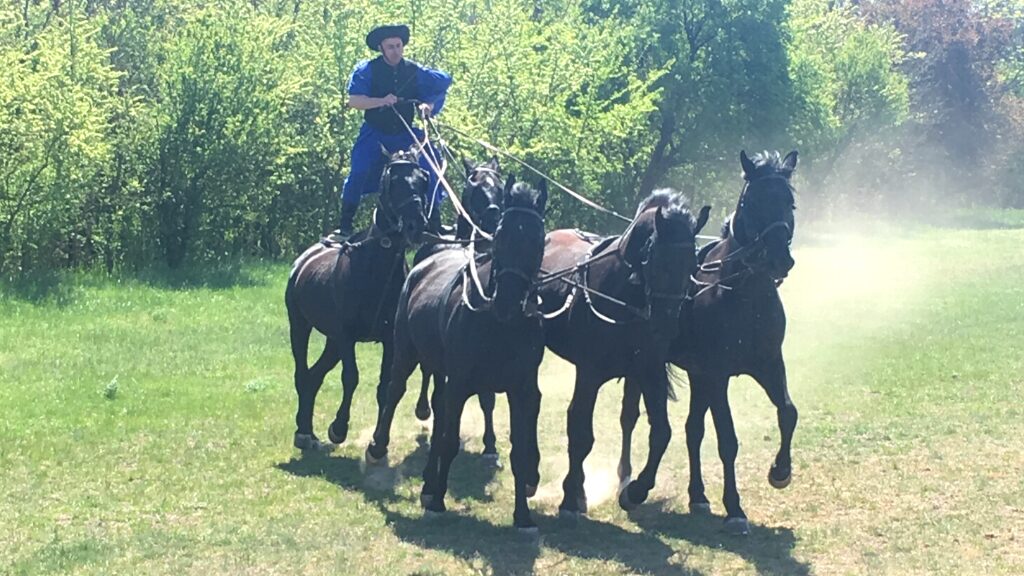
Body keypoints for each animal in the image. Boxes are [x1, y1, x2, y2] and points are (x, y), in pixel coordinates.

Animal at [286, 146, 430, 448]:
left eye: (423, 180)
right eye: (393, 181)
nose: (416, 225)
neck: (375, 265)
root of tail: (304, 259)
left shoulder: (389, 340)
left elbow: (385, 387)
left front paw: (378, 440)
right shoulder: (346, 335)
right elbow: (350, 377)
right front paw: (339, 427)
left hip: (331, 342)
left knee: (314, 376)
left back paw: (307, 428)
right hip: (301, 327)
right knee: (302, 374)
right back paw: (303, 432)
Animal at [370, 176, 552, 528]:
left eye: (539, 242)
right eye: (501, 235)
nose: (507, 302)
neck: (499, 325)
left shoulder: (521, 390)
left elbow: (518, 452)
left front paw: (523, 516)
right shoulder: (460, 383)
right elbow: (450, 441)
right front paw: (438, 500)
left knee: (439, 413)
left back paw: (428, 479)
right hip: (406, 352)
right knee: (395, 390)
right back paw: (379, 446)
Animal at [536, 191, 712, 516]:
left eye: (693, 265)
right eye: (658, 262)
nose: (666, 325)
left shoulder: (649, 369)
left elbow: (661, 432)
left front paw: (637, 489)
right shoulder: (589, 373)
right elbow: (580, 431)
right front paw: (570, 498)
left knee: (628, 417)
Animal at [614, 148, 798, 532]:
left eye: (789, 203)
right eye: (752, 202)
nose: (779, 259)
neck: (745, 295)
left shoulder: (768, 364)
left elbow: (788, 412)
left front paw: (780, 471)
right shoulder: (717, 376)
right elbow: (727, 438)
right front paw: (735, 509)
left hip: (697, 377)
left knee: (692, 430)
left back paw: (697, 496)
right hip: (649, 369)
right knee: (630, 418)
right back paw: (627, 481)